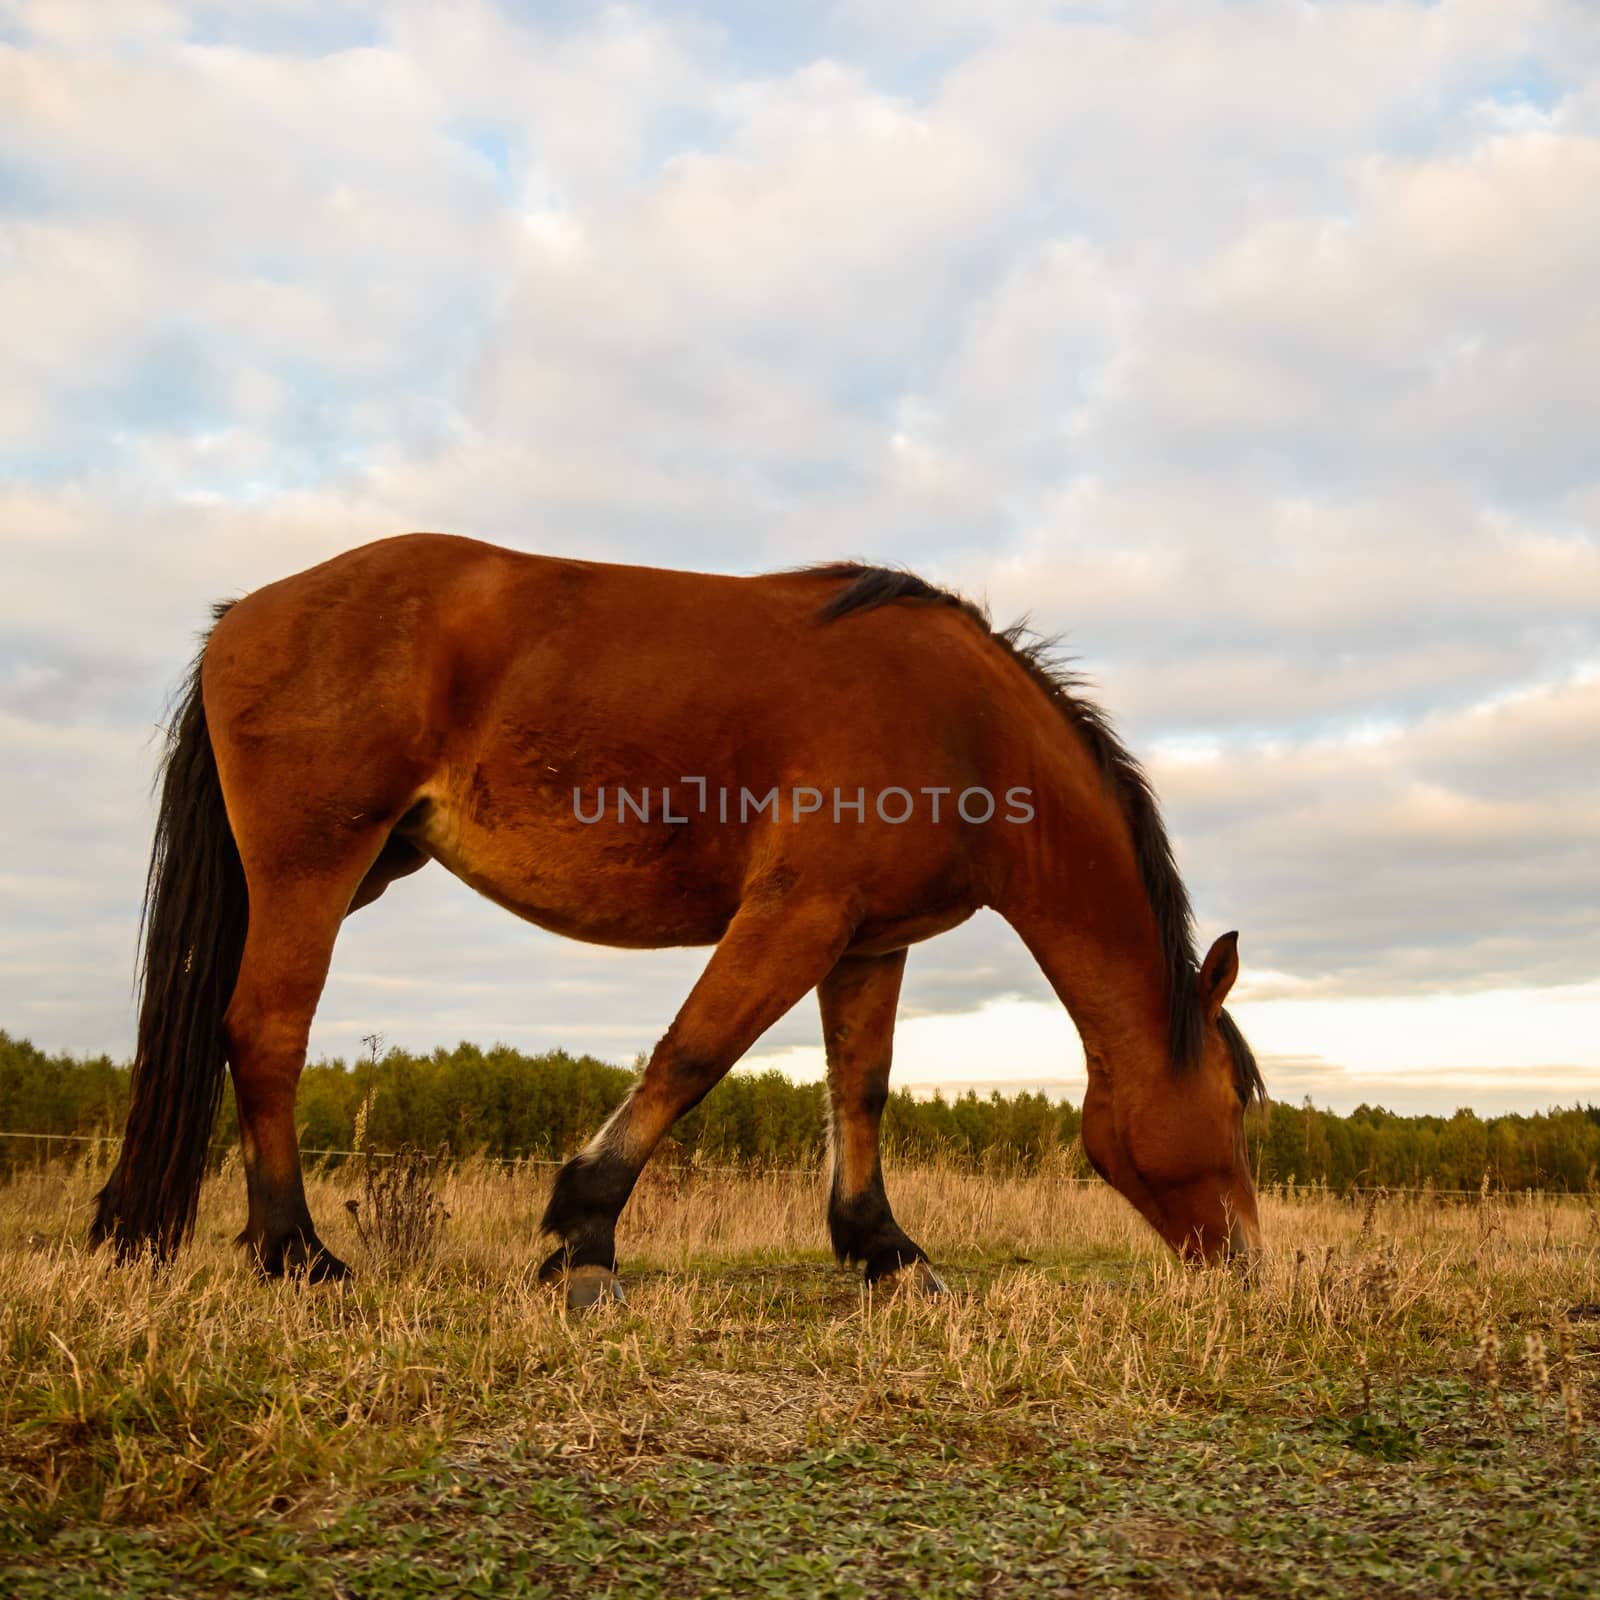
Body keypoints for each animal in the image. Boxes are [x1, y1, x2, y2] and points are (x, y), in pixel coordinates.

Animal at [90, 531, 1260, 1305]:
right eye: (1238, 1108)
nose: (1249, 1258)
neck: (968, 727)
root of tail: (246, 614)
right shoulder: (795, 916)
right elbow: (692, 1056)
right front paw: (581, 1237)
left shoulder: (866, 942)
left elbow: (861, 1090)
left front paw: (884, 1248)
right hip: (315, 867)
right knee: (265, 1035)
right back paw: (298, 1254)